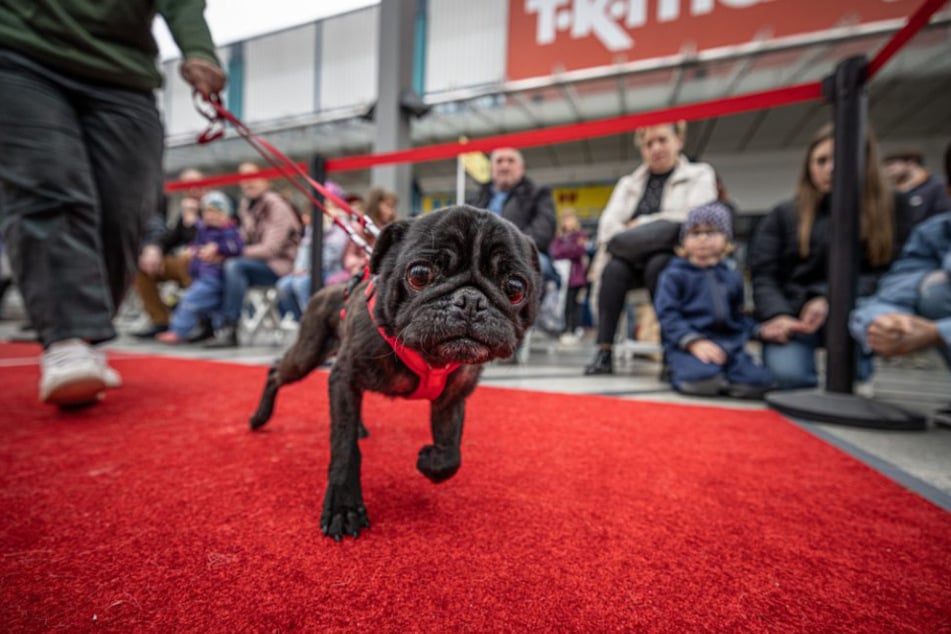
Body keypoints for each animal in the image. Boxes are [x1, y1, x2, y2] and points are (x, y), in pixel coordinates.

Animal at [249, 204, 540, 540]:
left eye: (516, 288)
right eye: (419, 274)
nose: (471, 300)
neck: (430, 357)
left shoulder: (452, 399)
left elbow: (451, 452)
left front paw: (430, 462)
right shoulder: (344, 376)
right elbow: (344, 446)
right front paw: (343, 505)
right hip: (306, 356)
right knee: (276, 372)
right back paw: (259, 418)